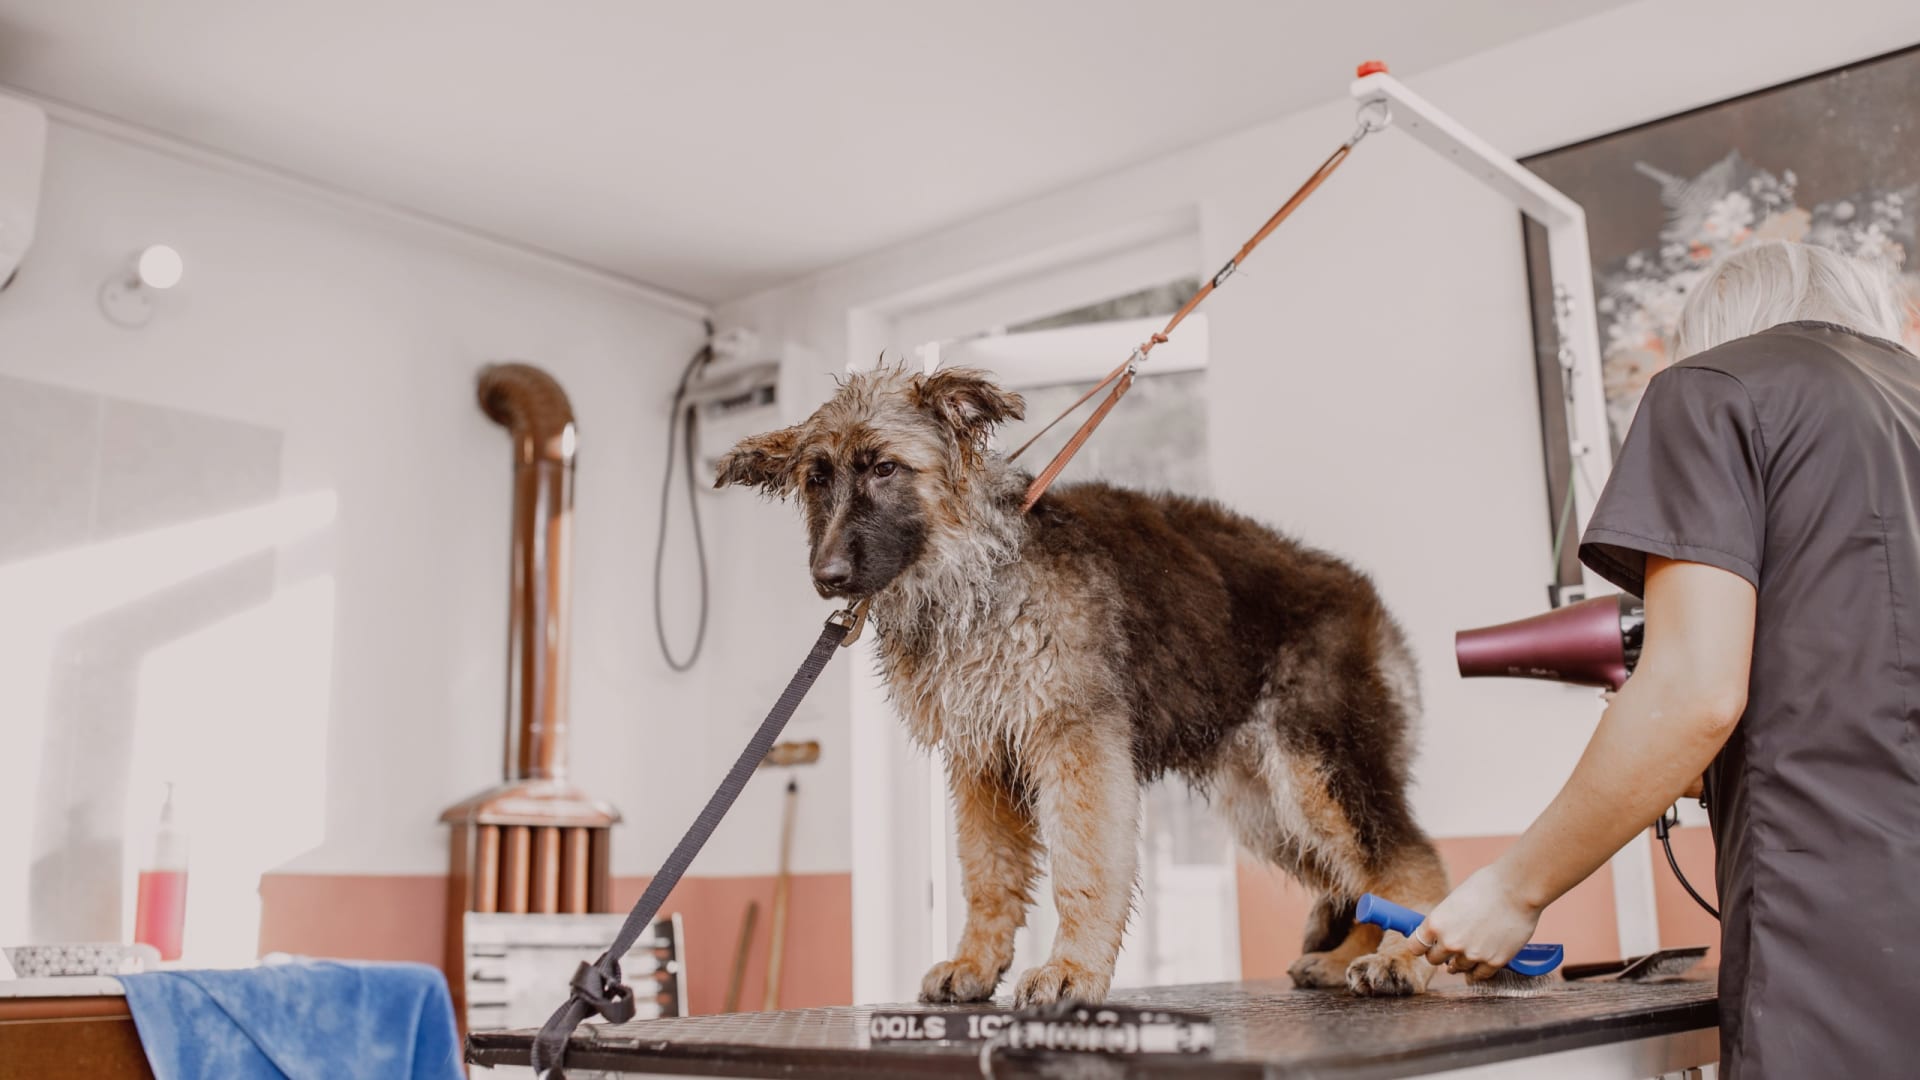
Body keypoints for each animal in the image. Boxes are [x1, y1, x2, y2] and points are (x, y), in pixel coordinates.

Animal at [714, 363, 1443, 999]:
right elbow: (987, 872)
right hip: (1268, 806)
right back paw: (1350, 957)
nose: (827, 578)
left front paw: (1072, 969)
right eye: (816, 480)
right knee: (1363, 880)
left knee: (1410, 862)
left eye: (885, 468)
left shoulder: (1075, 743)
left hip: (1317, 772)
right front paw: (977, 963)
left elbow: (1082, 867)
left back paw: (1403, 959)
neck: (974, 571)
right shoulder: (981, 761)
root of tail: (1361, 592)